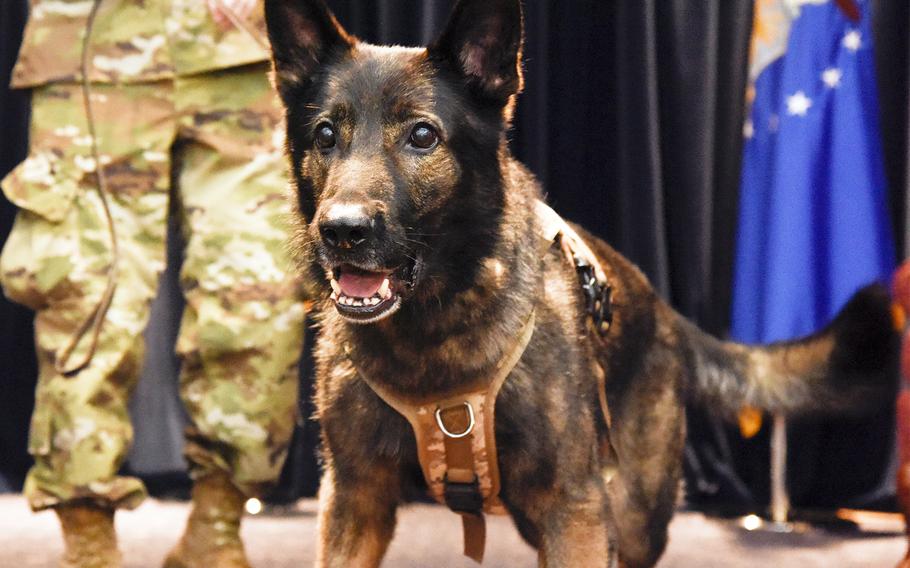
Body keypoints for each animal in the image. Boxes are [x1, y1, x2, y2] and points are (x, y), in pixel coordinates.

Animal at [262, 2, 896, 564]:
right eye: (325, 135)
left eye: (422, 136)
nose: (342, 231)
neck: (431, 339)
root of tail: (662, 310)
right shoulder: (356, 501)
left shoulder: (572, 509)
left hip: (629, 516)